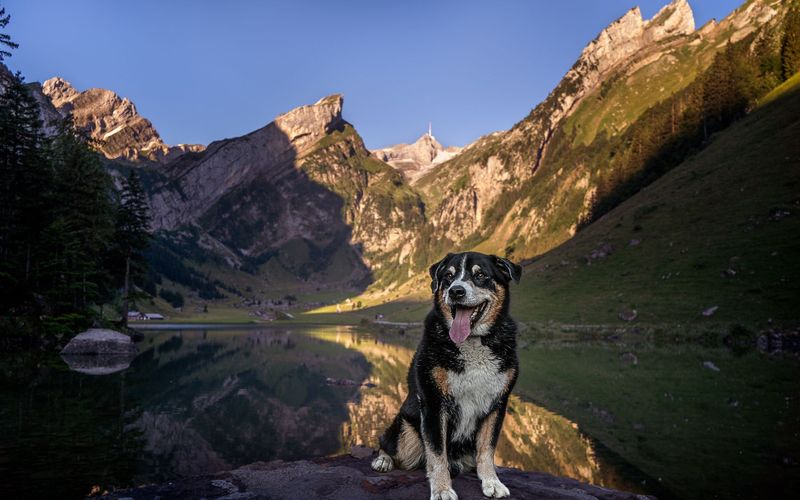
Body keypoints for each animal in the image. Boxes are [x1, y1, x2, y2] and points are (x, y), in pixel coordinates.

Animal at [372, 252, 520, 500]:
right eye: (448, 277)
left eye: (481, 275)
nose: (456, 291)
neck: (473, 343)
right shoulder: (433, 403)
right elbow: (436, 453)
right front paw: (442, 489)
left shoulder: (497, 404)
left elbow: (487, 450)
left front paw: (492, 482)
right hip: (406, 429)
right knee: (389, 443)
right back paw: (383, 460)